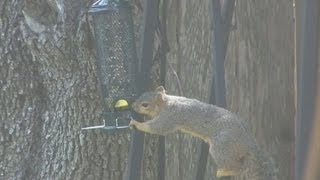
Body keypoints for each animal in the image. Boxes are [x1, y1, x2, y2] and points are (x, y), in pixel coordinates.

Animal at [130, 86, 278, 179]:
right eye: (141, 95)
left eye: (145, 104)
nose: (132, 106)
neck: (168, 102)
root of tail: (249, 142)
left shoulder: (170, 117)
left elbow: (158, 127)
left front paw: (137, 124)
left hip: (221, 147)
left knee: (238, 166)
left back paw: (224, 171)